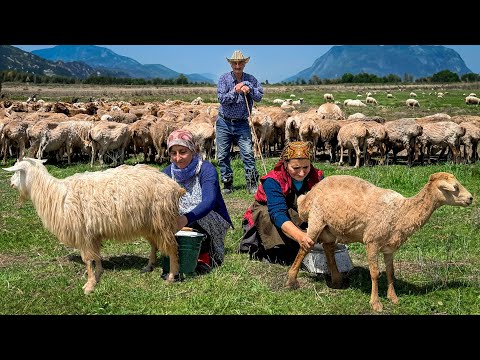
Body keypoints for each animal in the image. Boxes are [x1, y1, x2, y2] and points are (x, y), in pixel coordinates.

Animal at [3, 159, 188, 294]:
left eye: (18, 172)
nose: (10, 183)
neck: (54, 194)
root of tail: (174, 186)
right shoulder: (92, 233)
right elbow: (97, 256)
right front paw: (99, 273)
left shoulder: (82, 233)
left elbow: (87, 259)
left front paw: (89, 285)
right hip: (149, 223)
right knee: (154, 244)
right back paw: (149, 266)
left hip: (162, 221)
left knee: (172, 247)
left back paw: (171, 275)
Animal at [286, 172, 474, 312]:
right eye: (455, 187)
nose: (471, 198)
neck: (402, 211)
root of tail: (308, 195)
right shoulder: (372, 242)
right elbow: (375, 274)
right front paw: (376, 303)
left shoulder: (390, 247)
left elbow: (391, 272)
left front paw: (393, 298)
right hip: (316, 220)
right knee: (304, 247)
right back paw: (291, 280)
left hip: (331, 228)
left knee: (328, 249)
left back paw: (337, 280)